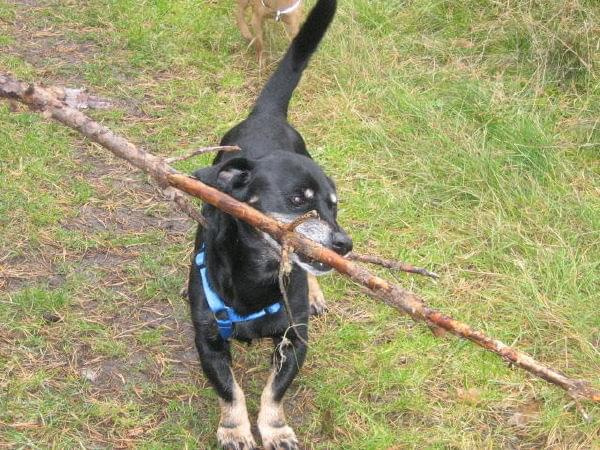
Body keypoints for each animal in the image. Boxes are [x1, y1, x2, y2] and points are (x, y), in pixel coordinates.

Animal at [186, 1, 346, 448]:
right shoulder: (207, 340)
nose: (344, 244)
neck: (258, 278)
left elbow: (273, 391)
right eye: (298, 200)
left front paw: (275, 429)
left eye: (334, 208)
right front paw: (234, 429)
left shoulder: (294, 339)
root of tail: (266, 114)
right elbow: (231, 390)